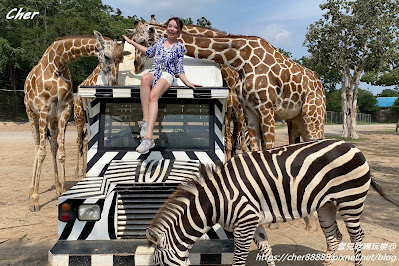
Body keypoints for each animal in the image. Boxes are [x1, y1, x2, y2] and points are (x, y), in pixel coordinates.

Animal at [23, 30, 126, 210]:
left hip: (53, 120)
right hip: (32, 114)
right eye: (106, 56)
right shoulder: (43, 110)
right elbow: (41, 152)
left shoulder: (64, 110)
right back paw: (31, 190)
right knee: (37, 147)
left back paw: (57, 186)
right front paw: (35, 200)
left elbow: (61, 153)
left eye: (121, 59)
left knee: (53, 146)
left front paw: (63, 190)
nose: (113, 84)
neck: (58, 63)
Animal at [147, 139, 399, 266]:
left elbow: (239, 260)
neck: (217, 199)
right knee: (334, 236)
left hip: (351, 200)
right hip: (326, 204)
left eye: (158, 265)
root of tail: (353, 146)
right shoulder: (254, 221)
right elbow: (266, 252)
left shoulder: (245, 222)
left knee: (358, 237)